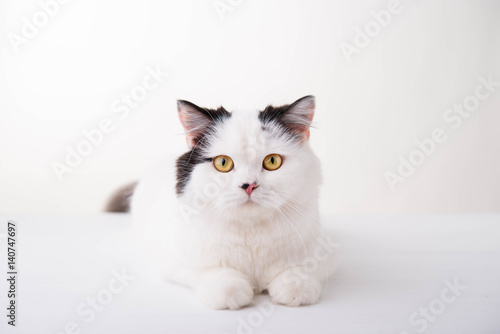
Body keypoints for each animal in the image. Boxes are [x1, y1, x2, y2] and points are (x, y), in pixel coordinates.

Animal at [107, 96, 338, 310]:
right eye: (223, 163)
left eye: (272, 161)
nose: (248, 185)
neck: (250, 236)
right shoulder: (172, 261)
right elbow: (212, 271)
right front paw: (232, 290)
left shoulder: (325, 254)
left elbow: (297, 271)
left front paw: (294, 287)